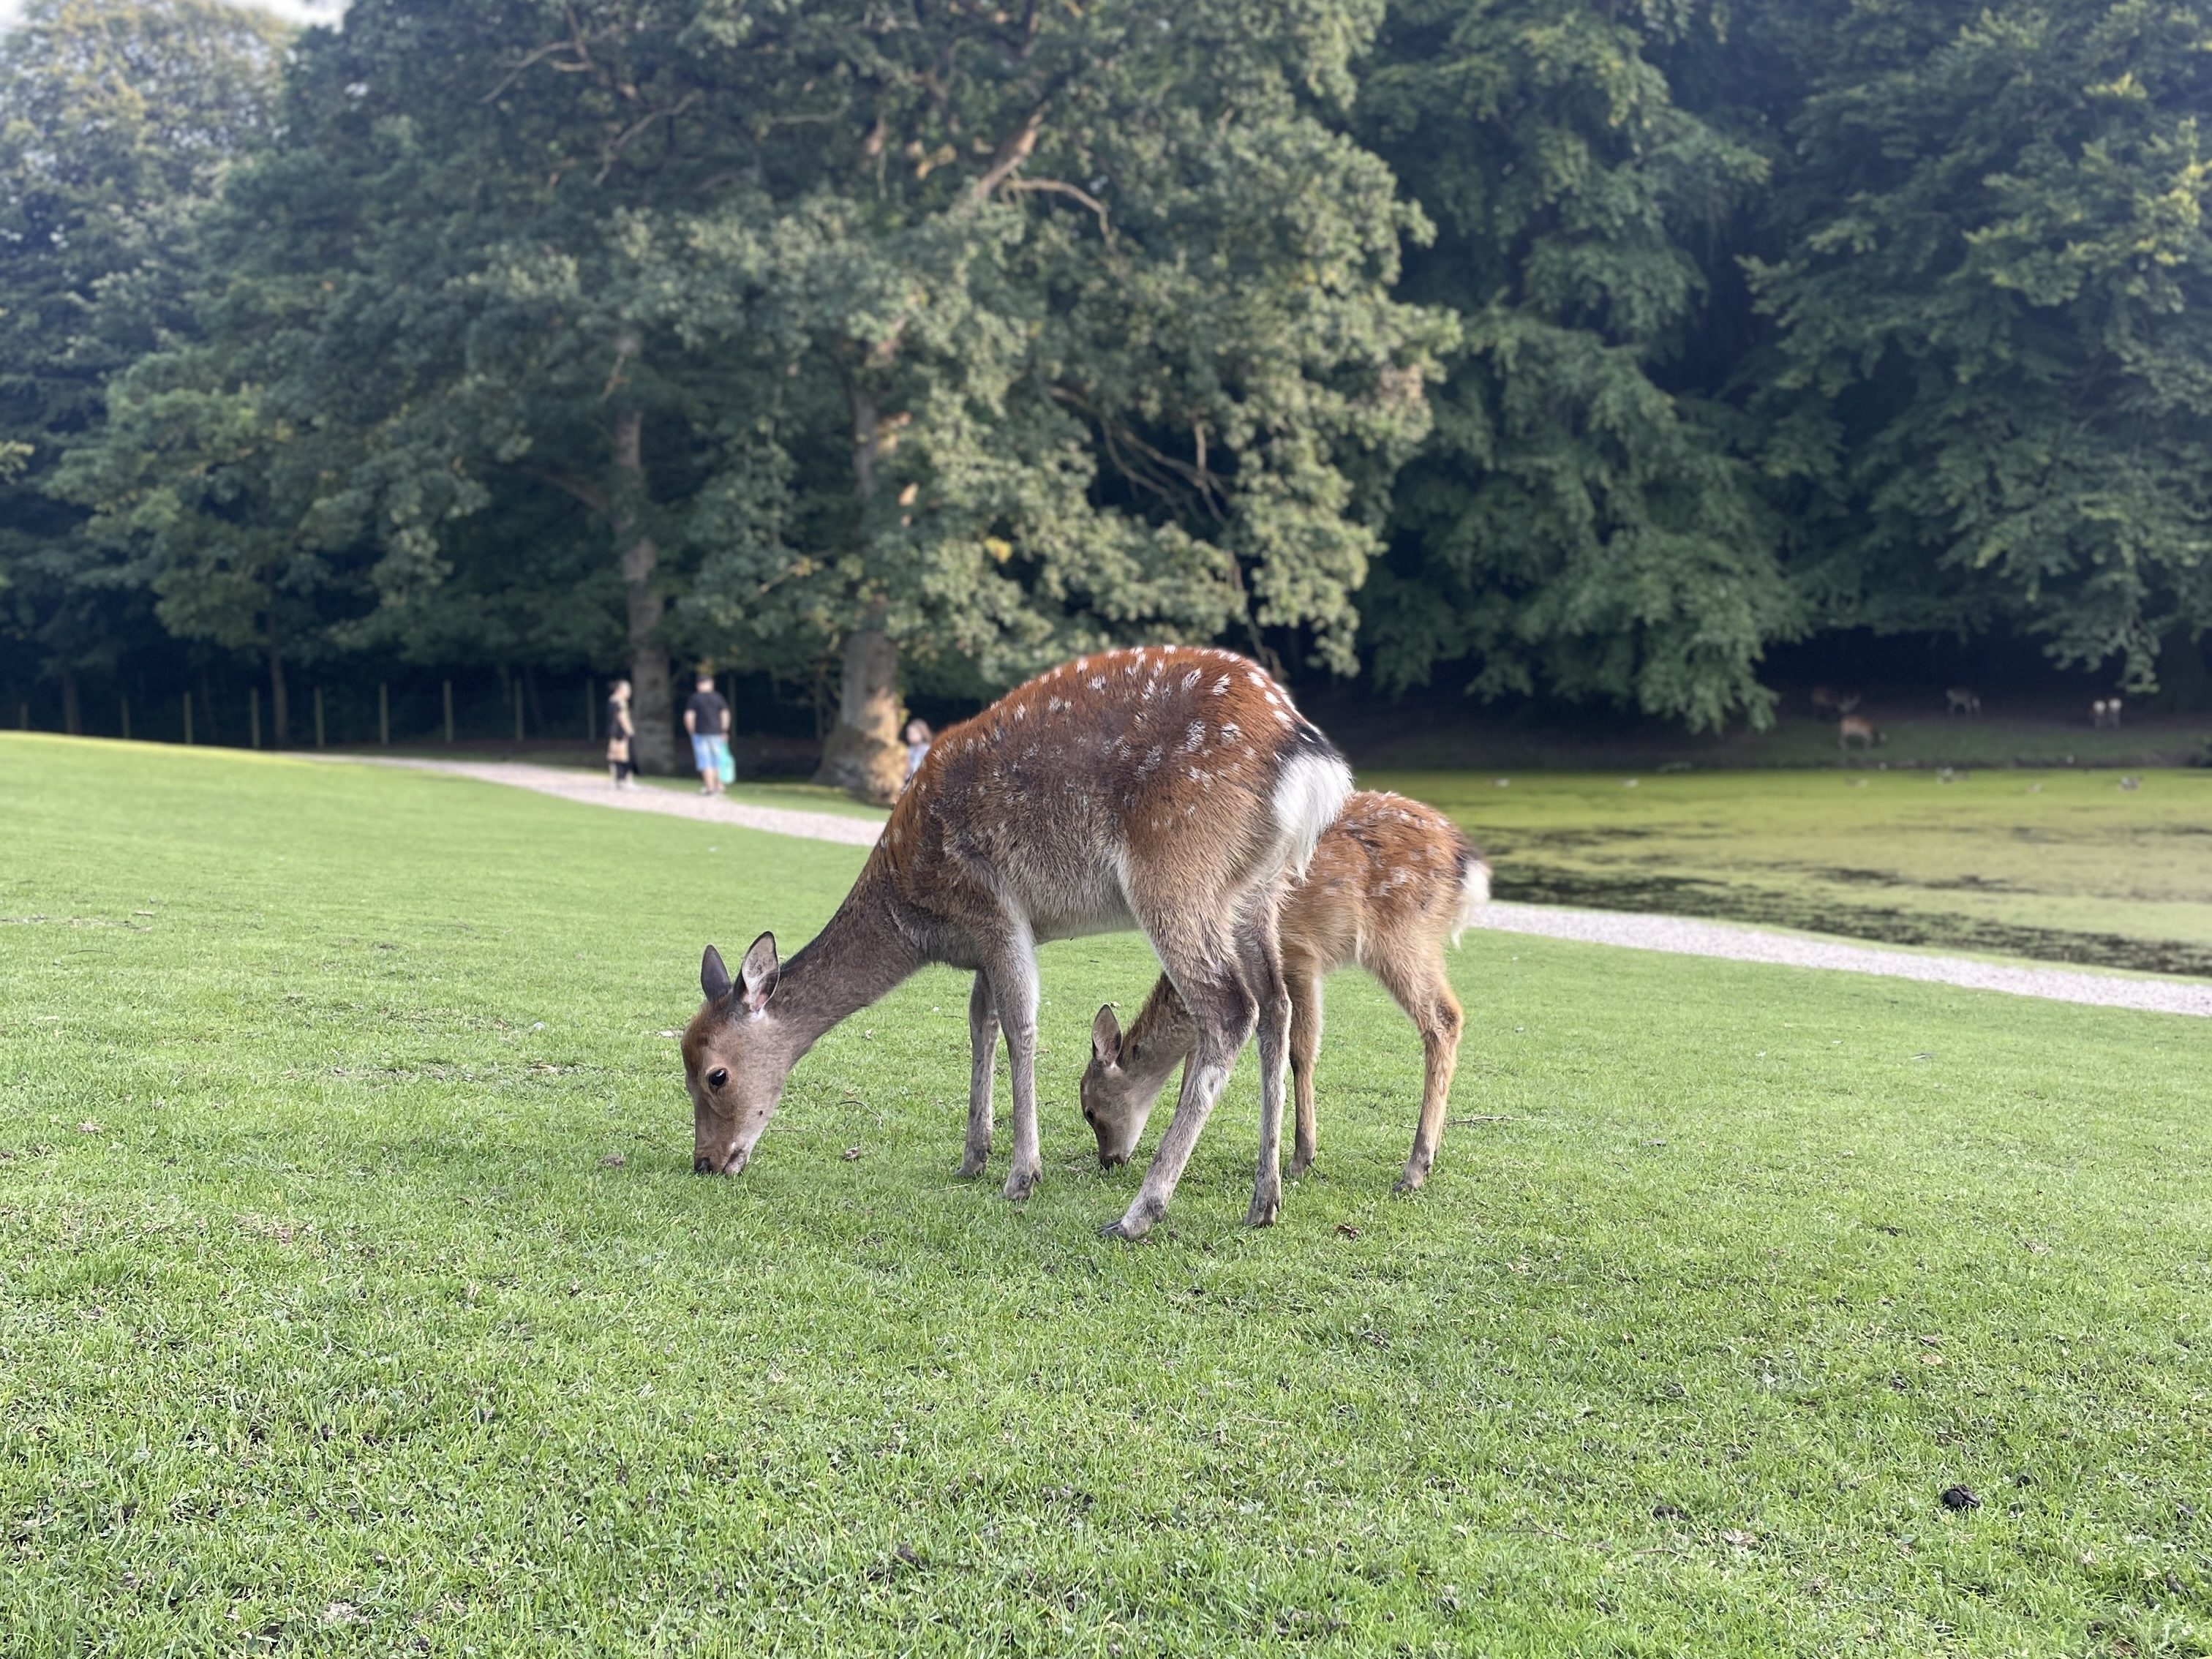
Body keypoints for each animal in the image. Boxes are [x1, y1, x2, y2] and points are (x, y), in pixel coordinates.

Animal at [682, 646, 1353, 1240]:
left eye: (715, 1075)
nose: (706, 1163)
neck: (915, 916)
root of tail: (1307, 757)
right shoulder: (984, 943)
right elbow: (979, 1022)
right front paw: (972, 1157)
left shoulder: (995, 907)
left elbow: (1019, 1024)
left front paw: (1021, 1176)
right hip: (1255, 892)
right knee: (1278, 1007)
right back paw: (1265, 1200)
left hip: (1175, 871)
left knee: (1230, 1007)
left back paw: (1140, 1213)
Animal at [1081, 792, 1487, 1198]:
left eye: (1089, 1110)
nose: (1109, 1161)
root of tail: (1462, 856)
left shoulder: (1297, 956)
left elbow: (1299, 1052)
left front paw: (1301, 1157)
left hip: (1400, 935)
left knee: (1444, 1018)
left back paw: (1415, 1167)